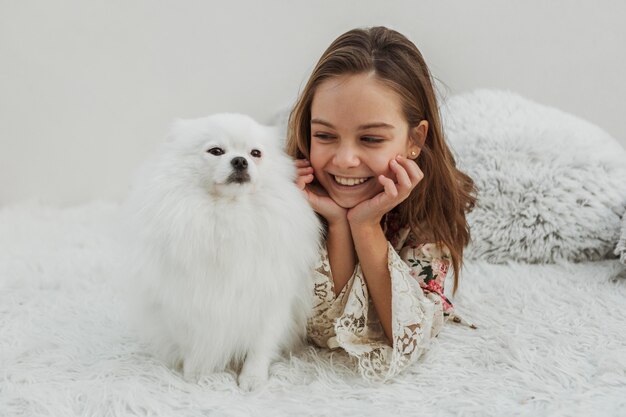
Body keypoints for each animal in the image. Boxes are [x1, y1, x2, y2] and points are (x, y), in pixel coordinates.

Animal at [122, 112, 320, 388]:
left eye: (255, 153)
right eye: (216, 151)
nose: (240, 160)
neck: (229, 213)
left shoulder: (270, 299)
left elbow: (260, 345)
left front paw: (252, 378)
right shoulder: (186, 301)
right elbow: (193, 343)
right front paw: (196, 375)